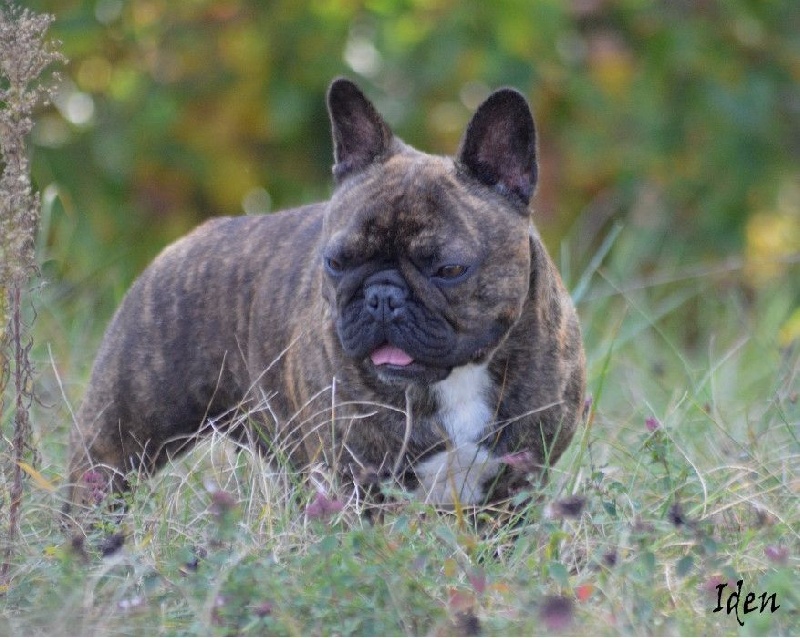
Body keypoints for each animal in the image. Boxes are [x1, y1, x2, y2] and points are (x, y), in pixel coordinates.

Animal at [64, 77, 588, 512]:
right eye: (337, 262)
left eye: (448, 270)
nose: (382, 297)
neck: (456, 380)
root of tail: (182, 243)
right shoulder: (355, 479)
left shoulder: (514, 486)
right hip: (120, 440)